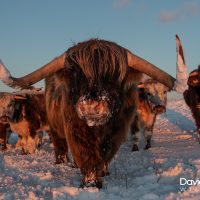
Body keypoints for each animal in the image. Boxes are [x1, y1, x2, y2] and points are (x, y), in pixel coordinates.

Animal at [0, 39, 187, 188]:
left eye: (115, 75)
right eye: (74, 73)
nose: (91, 106)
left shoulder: (116, 133)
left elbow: (104, 156)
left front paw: (101, 175)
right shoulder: (75, 131)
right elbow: (85, 156)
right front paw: (90, 183)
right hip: (55, 128)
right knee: (60, 147)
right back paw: (61, 162)